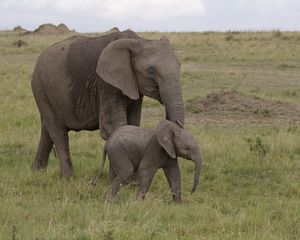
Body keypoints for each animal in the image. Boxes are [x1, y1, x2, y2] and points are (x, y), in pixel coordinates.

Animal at [31, 30, 184, 177]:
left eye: (179, 66)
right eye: (151, 71)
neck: (139, 41)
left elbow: (133, 124)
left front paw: (131, 181)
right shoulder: (107, 84)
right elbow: (113, 126)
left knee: (47, 129)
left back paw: (37, 172)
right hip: (40, 88)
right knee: (58, 131)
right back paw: (68, 178)